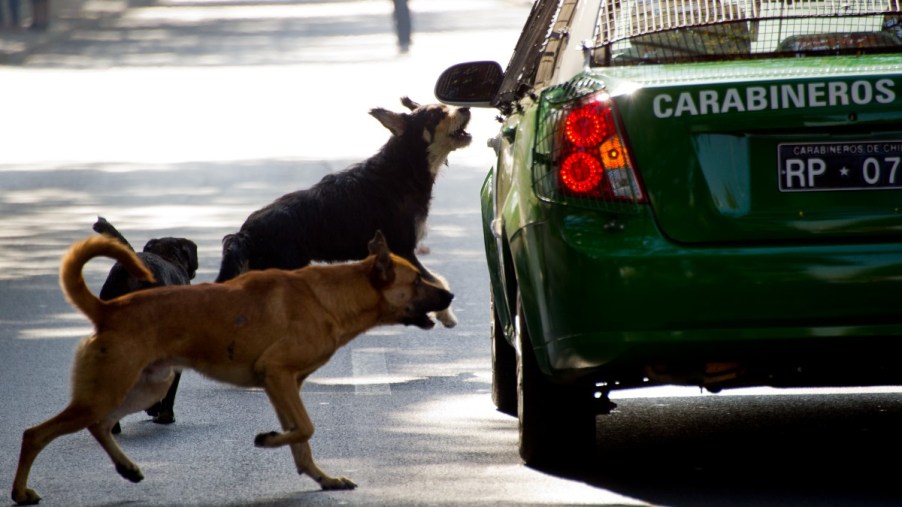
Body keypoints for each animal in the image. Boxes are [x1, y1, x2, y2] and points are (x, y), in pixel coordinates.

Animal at [216, 97, 474, 330]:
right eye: (436, 114)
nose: (465, 107)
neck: (403, 170)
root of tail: (244, 234)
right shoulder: (403, 249)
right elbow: (437, 280)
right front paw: (446, 315)